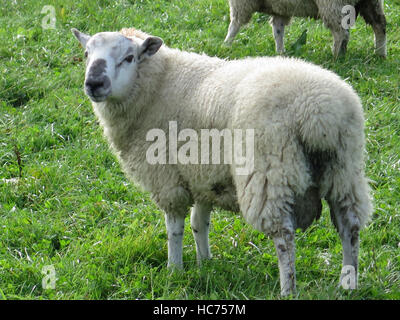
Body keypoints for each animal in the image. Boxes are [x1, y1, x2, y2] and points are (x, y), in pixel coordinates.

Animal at [71, 26, 372, 296]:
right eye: (86, 54)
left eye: (129, 57)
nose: (94, 84)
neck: (157, 86)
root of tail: (318, 112)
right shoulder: (203, 176)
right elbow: (199, 222)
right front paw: (205, 264)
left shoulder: (168, 180)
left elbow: (174, 228)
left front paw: (174, 271)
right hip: (344, 168)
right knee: (350, 226)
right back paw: (348, 284)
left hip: (270, 172)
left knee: (284, 237)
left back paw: (288, 290)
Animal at [223, 0, 386, 57]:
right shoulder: (280, 8)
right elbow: (278, 29)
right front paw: (280, 52)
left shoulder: (242, 3)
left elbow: (234, 24)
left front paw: (225, 45)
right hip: (370, 3)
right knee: (380, 25)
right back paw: (380, 53)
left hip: (333, 5)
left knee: (341, 32)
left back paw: (336, 56)